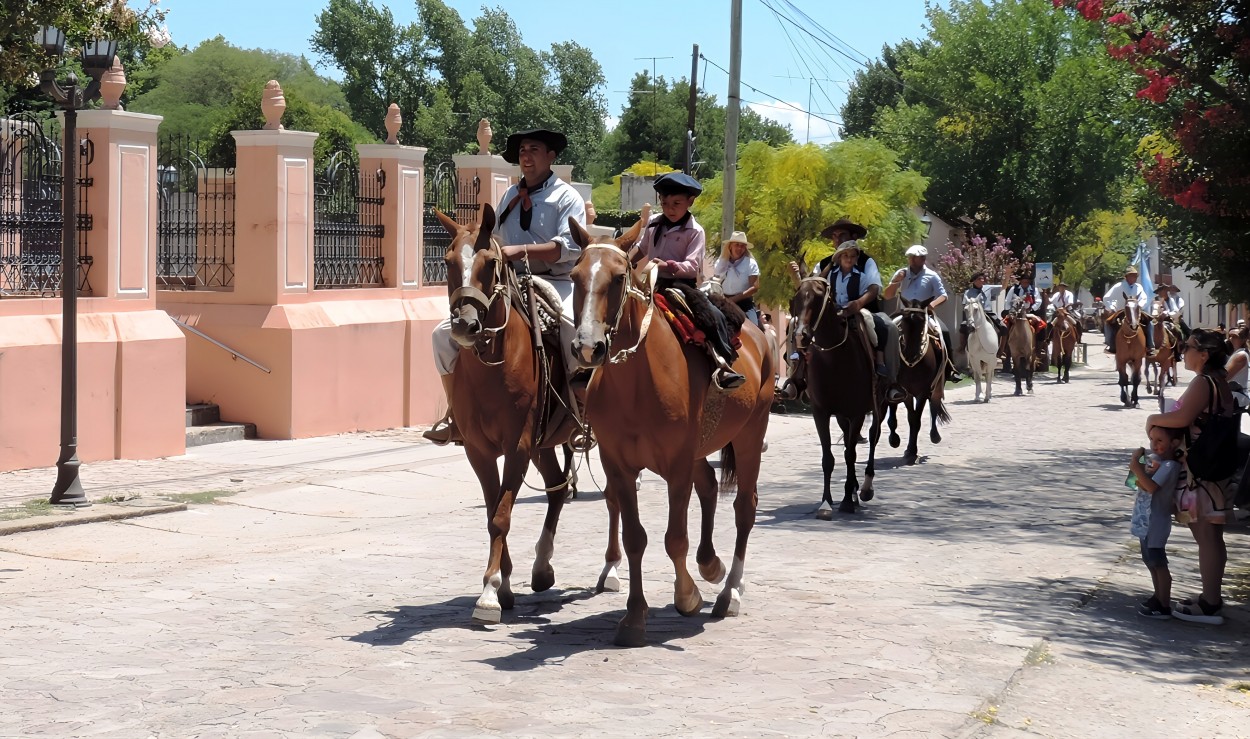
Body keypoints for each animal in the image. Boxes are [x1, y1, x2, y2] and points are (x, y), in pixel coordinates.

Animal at [437, 205, 577, 627]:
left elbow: (502, 514)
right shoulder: (479, 451)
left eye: (490, 263)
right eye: (448, 261)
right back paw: (542, 568)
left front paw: (488, 594)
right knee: (557, 488)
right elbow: (492, 511)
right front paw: (504, 586)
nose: (465, 324)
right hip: (544, 443)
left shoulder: (518, 447)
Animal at [567, 216, 770, 645]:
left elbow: (674, 538)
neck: (637, 384)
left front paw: (687, 595)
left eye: (617, 277)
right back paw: (711, 565)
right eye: (575, 276)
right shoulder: (618, 465)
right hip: (699, 449)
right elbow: (635, 538)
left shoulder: (676, 465)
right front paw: (634, 618)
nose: (588, 347)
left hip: (749, 434)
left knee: (744, 507)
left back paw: (731, 592)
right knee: (708, 485)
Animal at [785, 276, 885, 515]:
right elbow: (828, 457)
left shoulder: (858, 412)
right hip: (841, 415)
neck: (834, 360)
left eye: (819, 297)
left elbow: (850, 455)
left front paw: (848, 500)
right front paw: (826, 502)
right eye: (797, 297)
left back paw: (864, 488)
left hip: (880, 404)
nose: (801, 335)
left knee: (873, 437)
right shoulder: (820, 412)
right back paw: (855, 490)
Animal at [885, 297, 950, 465]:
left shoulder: (923, 391)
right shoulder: (905, 391)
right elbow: (908, 417)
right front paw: (904, 447)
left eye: (922, 323)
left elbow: (916, 419)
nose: (910, 354)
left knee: (934, 405)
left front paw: (912, 451)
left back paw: (935, 435)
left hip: (936, 387)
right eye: (904, 322)